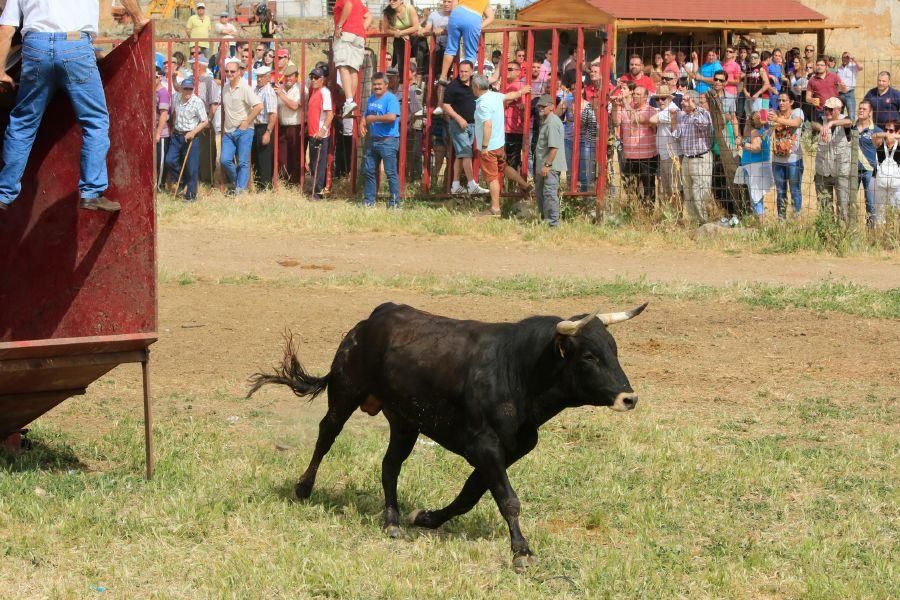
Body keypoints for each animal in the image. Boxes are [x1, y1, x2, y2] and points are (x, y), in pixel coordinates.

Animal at [248, 302, 648, 568]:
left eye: (614, 350)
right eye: (589, 356)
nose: (629, 398)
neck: (516, 371)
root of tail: (371, 320)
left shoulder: (506, 451)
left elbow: (470, 496)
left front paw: (426, 518)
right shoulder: (487, 446)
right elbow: (508, 500)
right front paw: (522, 552)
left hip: (405, 423)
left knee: (389, 465)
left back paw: (393, 520)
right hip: (345, 393)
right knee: (326, 437)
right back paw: (304, 488)